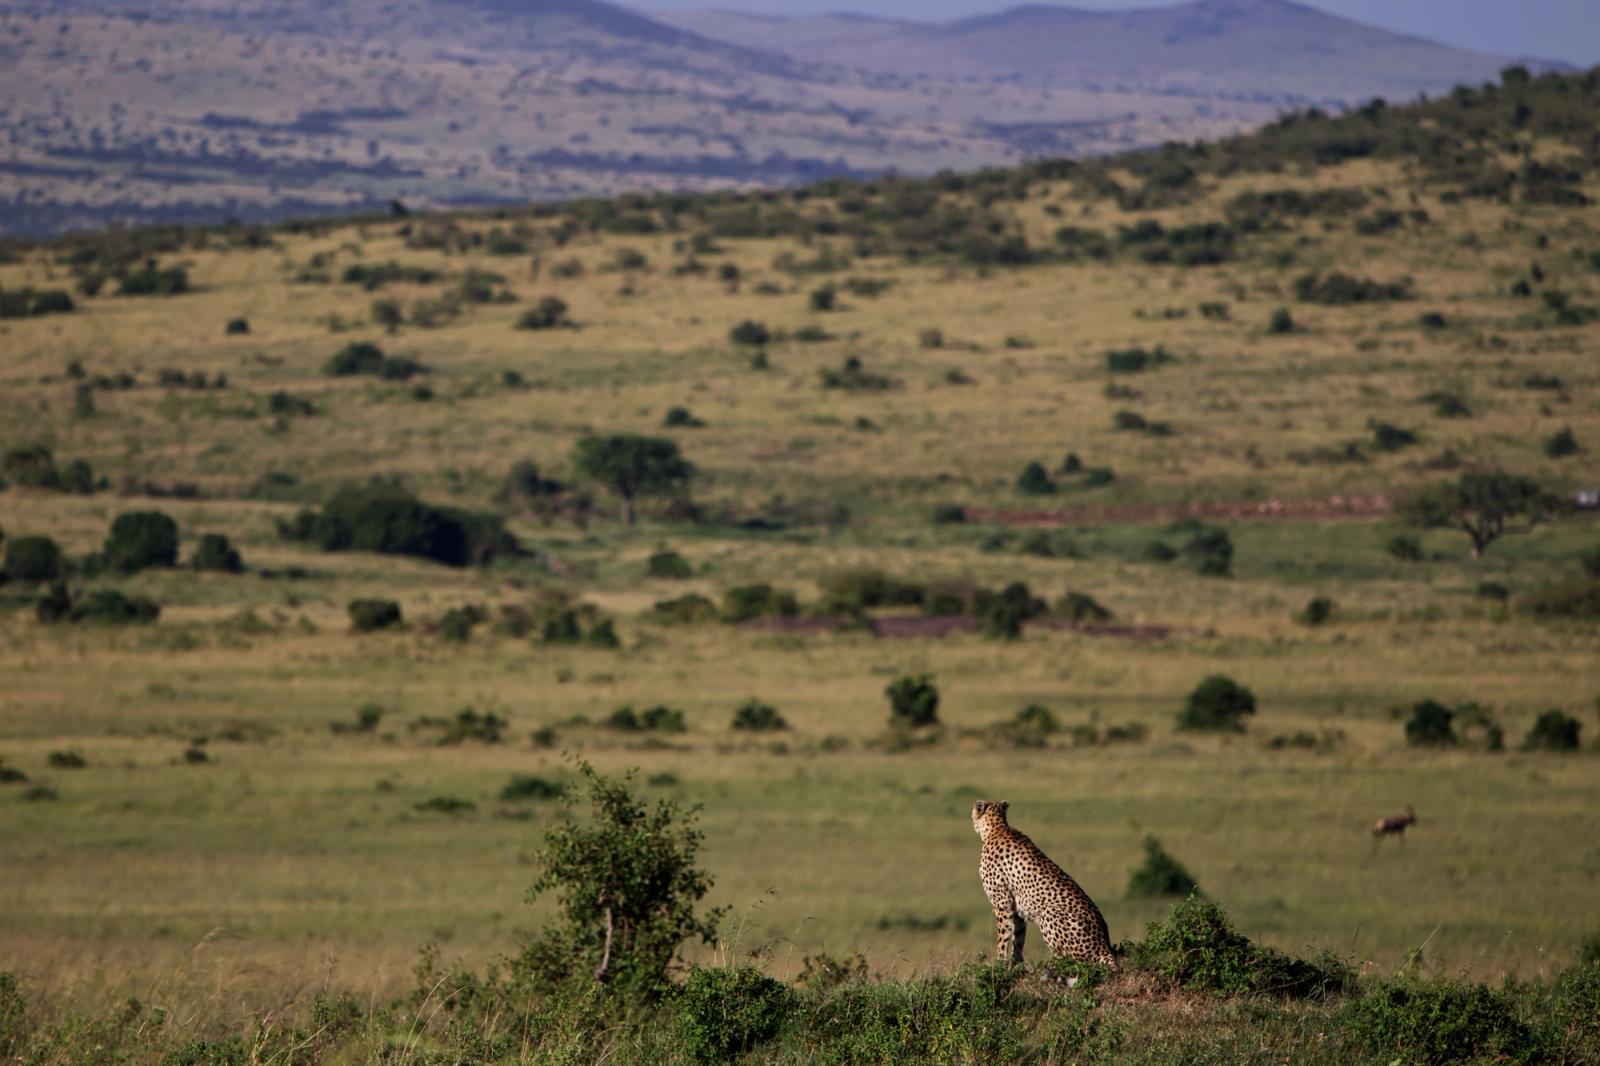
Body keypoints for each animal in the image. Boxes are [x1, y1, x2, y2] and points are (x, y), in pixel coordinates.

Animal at [972, 799, 1117, 968]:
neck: (996, 827)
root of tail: (1104, 945)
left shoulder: (1003, 903)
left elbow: (1003, 939)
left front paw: (1000, 964)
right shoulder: (1017, 908)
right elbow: (1018, 938)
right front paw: (1016, 964)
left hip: (1048, 913)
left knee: (1074, 961)